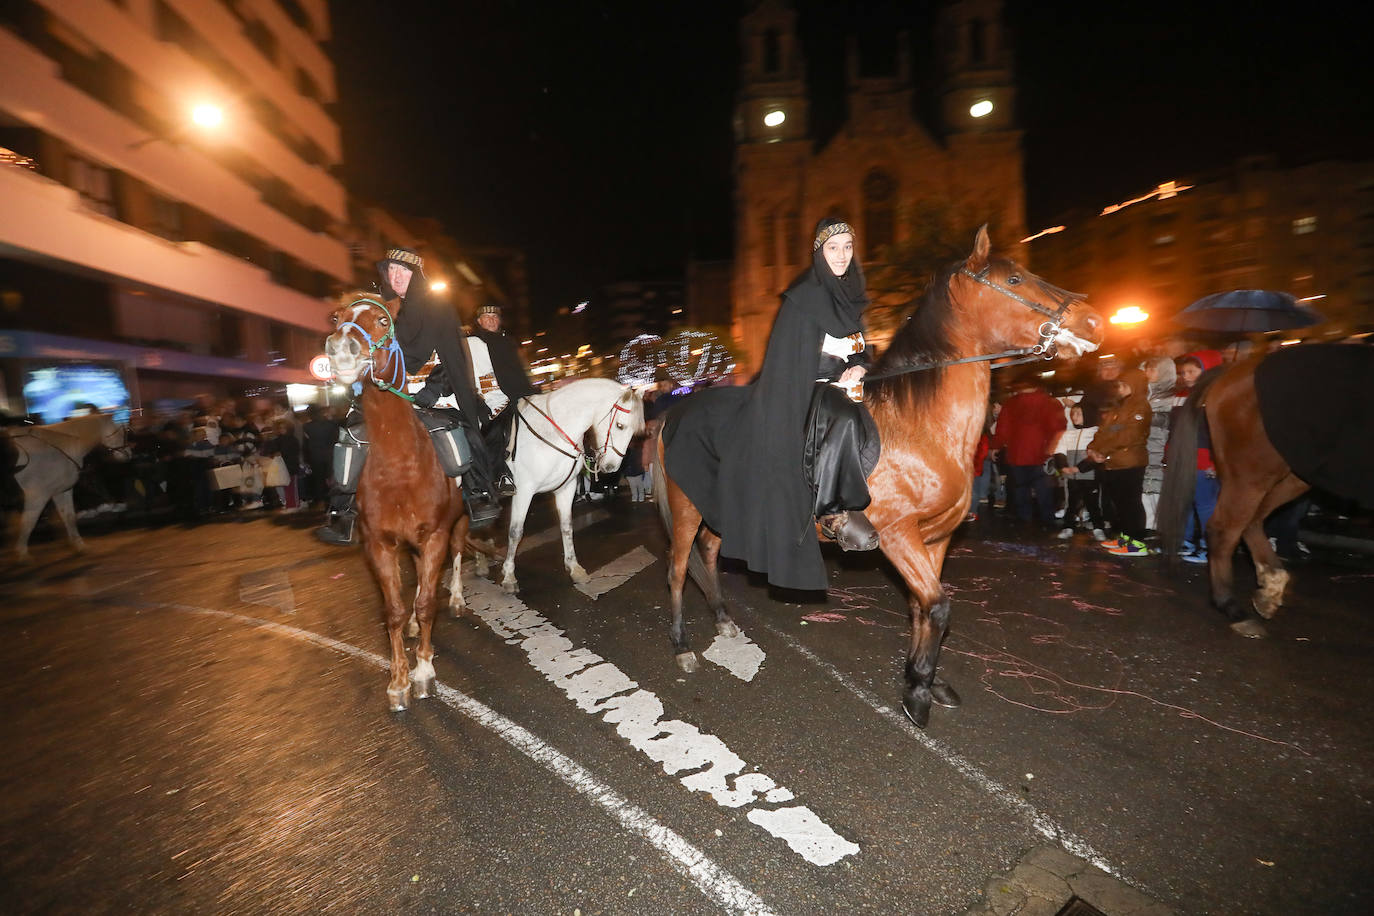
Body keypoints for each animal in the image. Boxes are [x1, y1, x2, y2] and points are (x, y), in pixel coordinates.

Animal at [4, 414, 126, 560]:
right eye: (120, 432)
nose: (128, 453)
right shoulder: (37, 496)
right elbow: (28, 522)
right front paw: (22, 554)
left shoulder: (61, 491)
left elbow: (69, 517)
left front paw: (79, 546)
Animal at [322, 292, 469, 708]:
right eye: (336, 317)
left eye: (383, 321)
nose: (341, 349)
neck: (400, 467)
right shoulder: (380, 545)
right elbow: (395, 609)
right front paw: (399, 679)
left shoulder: (434, 536)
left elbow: (425, 602)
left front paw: (424, 672)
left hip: (457, 525)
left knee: (455, 556)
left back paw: (456, 600)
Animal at [500, 379, 643, 596]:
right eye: (620, 426)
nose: (611, 467)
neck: (553, 433)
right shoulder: (524, 490)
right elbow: (515, 532)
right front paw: (509, 576)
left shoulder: (566, 489)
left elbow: (567, 527)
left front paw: (574, 568)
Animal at [654, 225, 1104, 725]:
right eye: (1015, 279)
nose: (1092, 322)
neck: (921, 427)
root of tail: (674, 413)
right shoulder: (898, 535)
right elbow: (938, 607)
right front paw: (918, 694)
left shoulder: (935, 538)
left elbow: (920, 608)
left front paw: (924, 679)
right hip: (685, 507)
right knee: (678, 569)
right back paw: (680, 646)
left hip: (719, 510)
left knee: (710, 554)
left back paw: (723, 619)